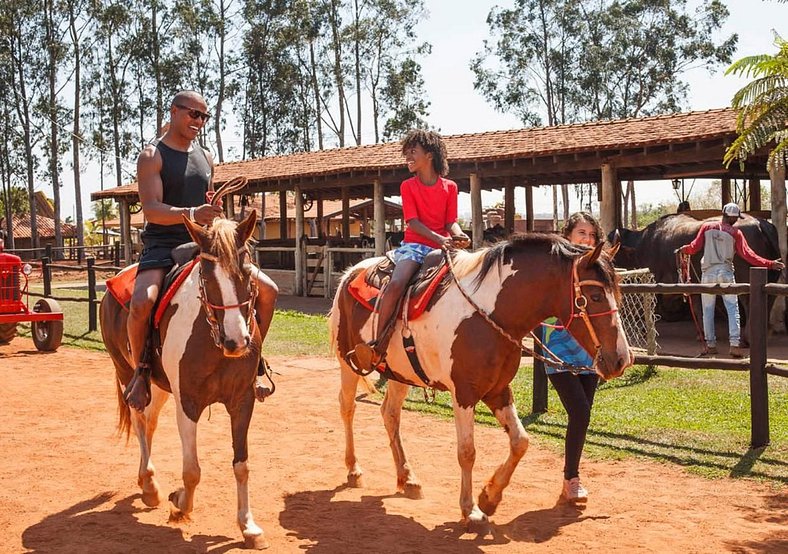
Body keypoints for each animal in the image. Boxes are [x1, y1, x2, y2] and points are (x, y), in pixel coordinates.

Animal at [97, 211, 264, 548]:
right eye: (207, 278)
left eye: (246, 272)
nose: (237, 342)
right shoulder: (187, 402)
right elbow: (192, 470)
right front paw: (180, 504)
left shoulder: (243, 401)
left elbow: (242, 465)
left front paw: (247, 525)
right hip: (128, 374)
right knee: (139, 420)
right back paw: (150, 487)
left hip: (160, 386)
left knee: (149, 423)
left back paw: (147, 482)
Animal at [330, 232, 632, 528]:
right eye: (594, 296)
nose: (622, 359)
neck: (489, 314)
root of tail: (349, 274)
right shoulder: (464, 394)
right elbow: (467, 451)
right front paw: (471, 510)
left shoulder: (498, 390)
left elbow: (520, 441)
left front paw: (490, 496)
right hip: (348, 364)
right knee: (347, 407)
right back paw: (354, 470)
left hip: (399, 373)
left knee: (390, 414)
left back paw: (408, 479)